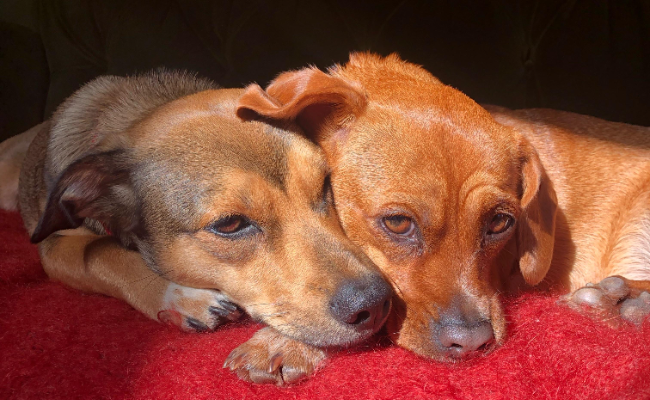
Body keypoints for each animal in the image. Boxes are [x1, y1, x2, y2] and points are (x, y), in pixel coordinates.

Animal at [1, 70, 390, 382]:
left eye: (326, 184)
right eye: (230, 224)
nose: (377, 304)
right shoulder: (55, 246)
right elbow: (101, 254)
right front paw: (182, 297)